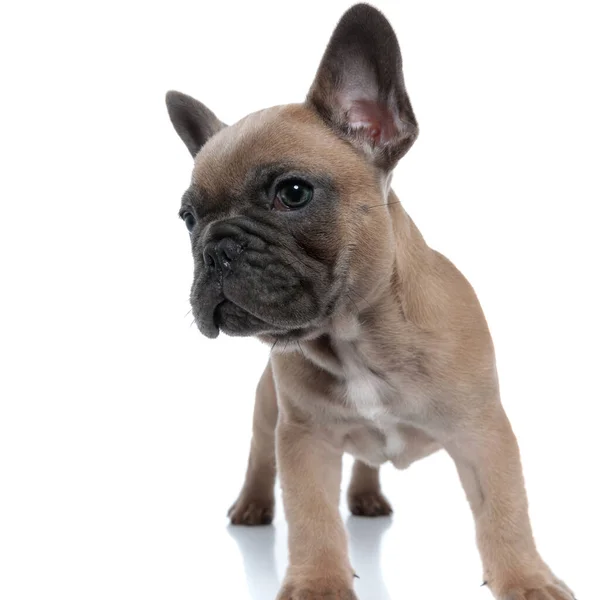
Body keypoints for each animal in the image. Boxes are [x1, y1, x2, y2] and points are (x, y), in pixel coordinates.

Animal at [165, 4, 576, 600]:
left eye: (293, 193)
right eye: (188, 219)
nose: (216, 246)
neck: (354, 335)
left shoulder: (484, 434)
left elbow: (504, 512)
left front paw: (525, 579)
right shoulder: (304, 438)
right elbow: (312, 516)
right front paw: (317, 583)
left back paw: (366, 495)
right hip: (268, 414)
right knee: (261, 461)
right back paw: (252, 506)